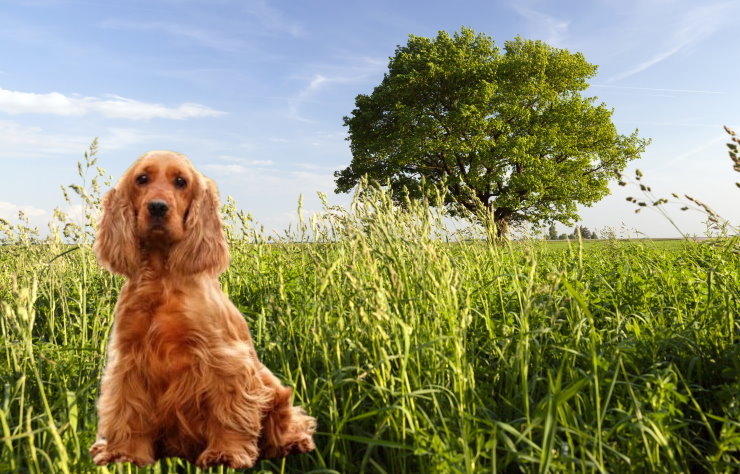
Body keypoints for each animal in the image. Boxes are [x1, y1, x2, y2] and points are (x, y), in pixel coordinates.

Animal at [89, 151, 316, 466]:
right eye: (142, 179)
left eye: (181, 181)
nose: (157, 207)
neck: (162, 277)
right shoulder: (129, 360)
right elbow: (127, 410)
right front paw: (124, 454)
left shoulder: (223, 358)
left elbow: (228, 411)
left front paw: (226, 453)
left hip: (273, 387)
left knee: (292, 420)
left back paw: (294, 443)